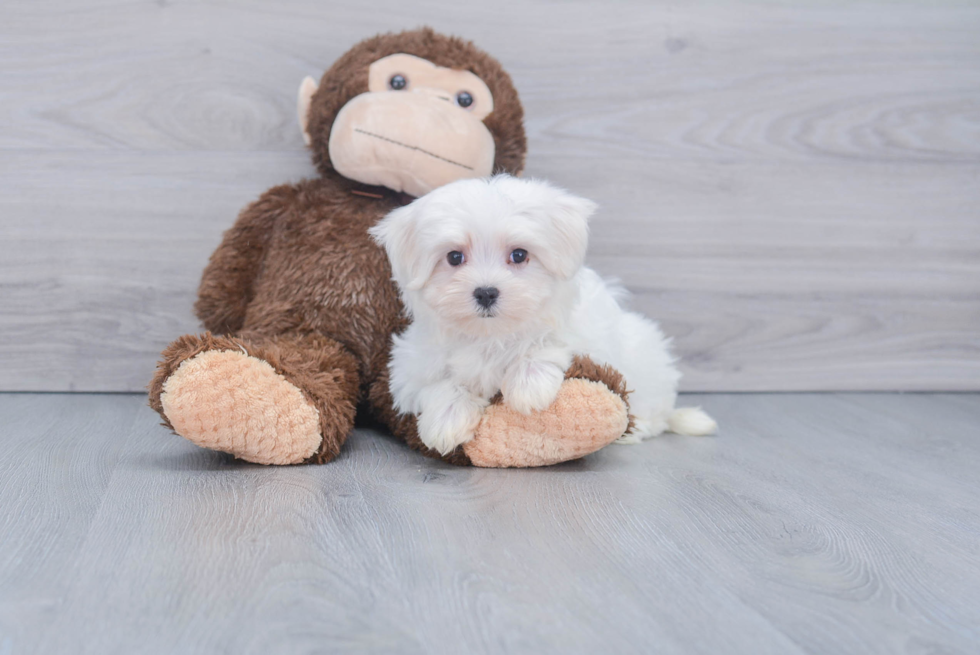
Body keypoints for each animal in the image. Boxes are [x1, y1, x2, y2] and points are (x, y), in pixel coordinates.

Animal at [372, 174, 716, 456]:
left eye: (519, 255)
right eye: (454, 257)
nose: (486, 292)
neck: (491, 336)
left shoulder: (586, 329)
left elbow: (550, 341)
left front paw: (529, 384)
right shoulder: (411, 367)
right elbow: (437, 384)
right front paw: (447, 419)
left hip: (645, 360)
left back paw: (636, 429)